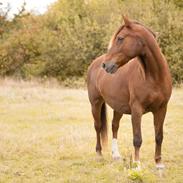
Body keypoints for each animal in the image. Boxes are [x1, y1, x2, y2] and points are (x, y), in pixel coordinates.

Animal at [86, 16, 172, 169]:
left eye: (120, 38)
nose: (106, 65)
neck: (153, 77)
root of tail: (94, 63)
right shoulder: (137, 110)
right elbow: (137, 138)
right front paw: (137, 164)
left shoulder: (162, 109)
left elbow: (159, 136)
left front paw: (158, 163)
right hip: (95, 103)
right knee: (98, 127)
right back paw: (99, 154)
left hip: (118, 107)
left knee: (114, 126)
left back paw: (116, 155)